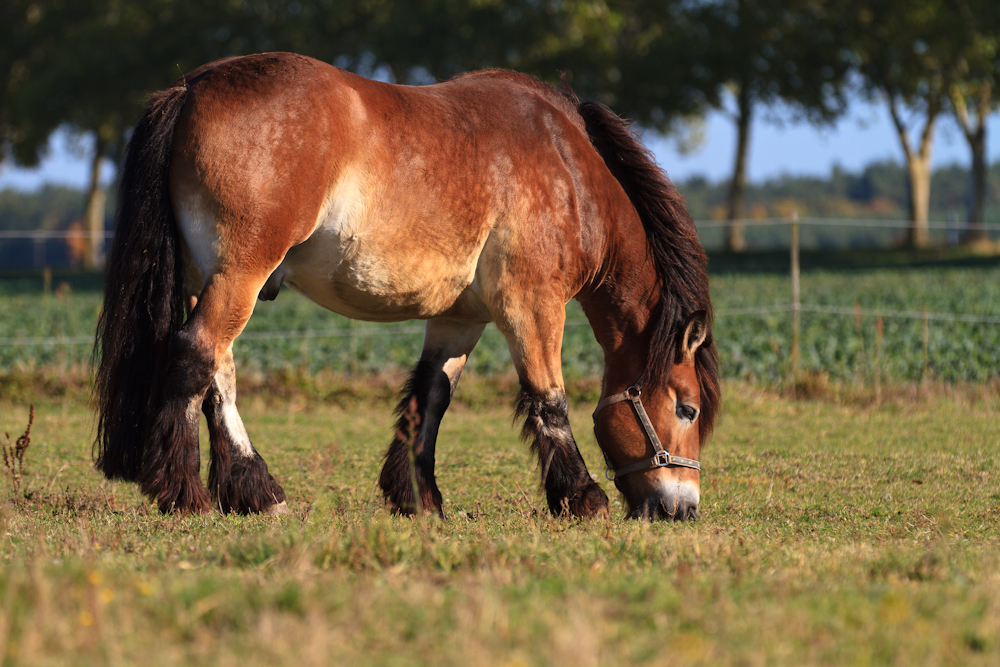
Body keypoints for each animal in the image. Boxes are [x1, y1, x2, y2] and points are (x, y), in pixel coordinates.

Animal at [95, 52, 720, 520]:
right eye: (687, 409)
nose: (681, 508)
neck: (567, 167)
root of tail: (192, 85)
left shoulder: (460, 318)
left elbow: (430, 397)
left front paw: (417, 497)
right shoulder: (531, 305)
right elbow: (549, 398)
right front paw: (580, 496)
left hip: (211, 282)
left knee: (217, 376)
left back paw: (255, 491)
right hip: (238, 277)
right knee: (195, 359)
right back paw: (185, 492)